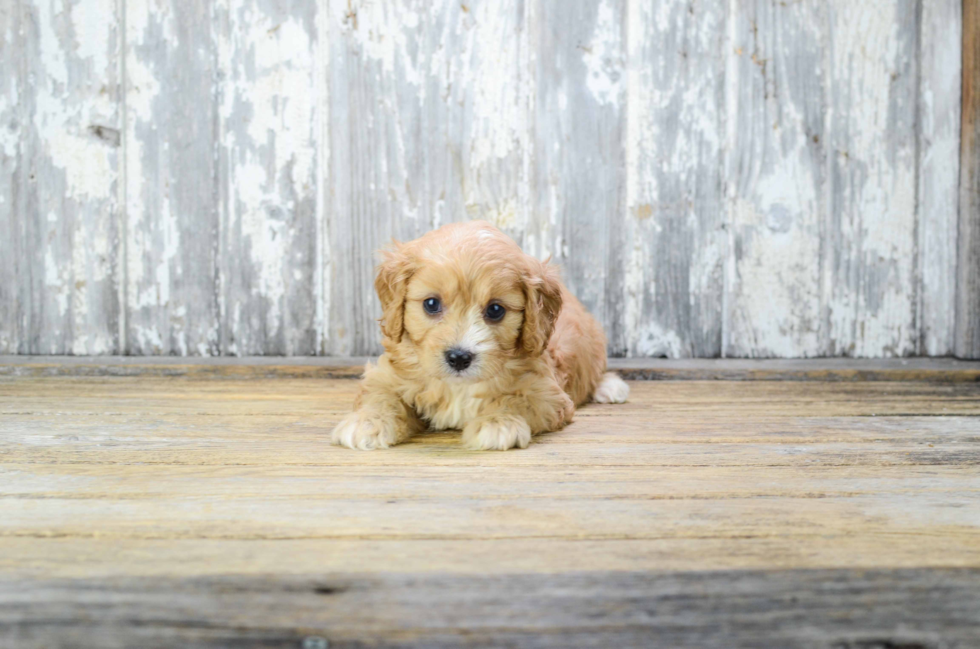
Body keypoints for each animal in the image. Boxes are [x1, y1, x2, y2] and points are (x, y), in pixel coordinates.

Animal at [334, 219, 632, 450]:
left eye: (495, 310)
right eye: (431, 304)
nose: (458, 357)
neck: (458, 386)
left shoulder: (547, 394)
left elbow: (515, 399)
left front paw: (497, 422)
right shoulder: (387, 375)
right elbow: (381, 396)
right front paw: (368, 421)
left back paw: (609, 387)